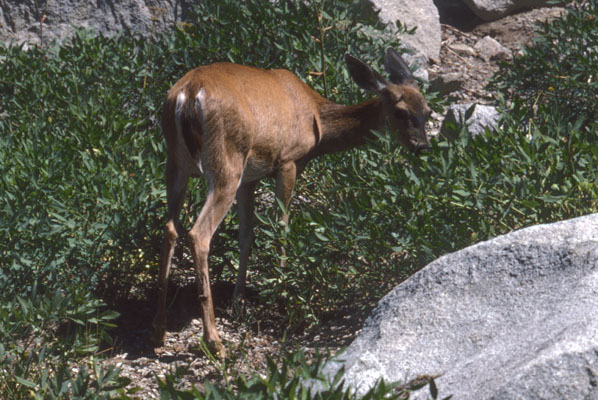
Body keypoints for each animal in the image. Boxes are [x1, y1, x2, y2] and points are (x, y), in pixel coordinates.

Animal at [151, 47, 432, 354]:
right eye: (401, 112)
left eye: (428, 112)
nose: (422, 147)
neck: (317, 117)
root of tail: (189, 94)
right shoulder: (288, 161)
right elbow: (282, 228)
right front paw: (281, 294)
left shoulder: (249, 178)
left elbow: (246, 235)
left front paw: (239, 301)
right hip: (226, 163)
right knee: (199, 233)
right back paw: (214, 341)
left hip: (177, 164)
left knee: (170, 229)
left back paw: (160, 331)